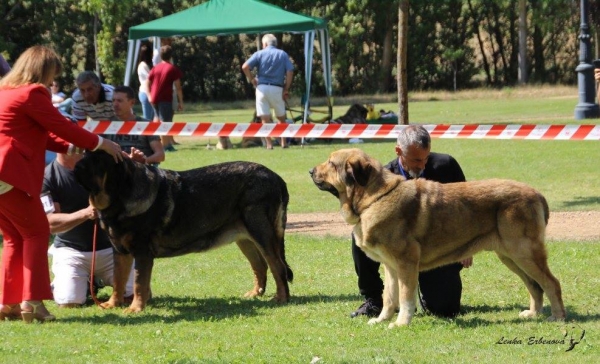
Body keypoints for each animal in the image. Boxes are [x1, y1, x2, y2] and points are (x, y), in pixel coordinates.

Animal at [74, 151, 294, 312]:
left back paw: (281, 298)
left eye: (97, 161)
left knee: (277, 266)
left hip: (262, 232)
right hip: (245, 238)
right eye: (85, 155)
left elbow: (138, 283)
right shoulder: (120, 251)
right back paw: (256, 293)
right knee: (260, 266)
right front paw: (113, 304)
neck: (119, 197)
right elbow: (119, 280)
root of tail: (276, 178)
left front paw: (135, 308)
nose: (77, 165)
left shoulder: (142, 252)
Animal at [312, 148, 564, 328]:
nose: (311, 171)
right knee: (534, 286)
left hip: (524, 253)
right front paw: (382, 319)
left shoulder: (405, 263)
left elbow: (405, 297)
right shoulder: (391, 266)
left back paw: (558, 317)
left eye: (331, 163)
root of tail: (537, 194)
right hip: (510, 256)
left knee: (551, 283)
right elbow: (389, 296)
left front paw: (401, 323)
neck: (373, 198)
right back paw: (533, 314)